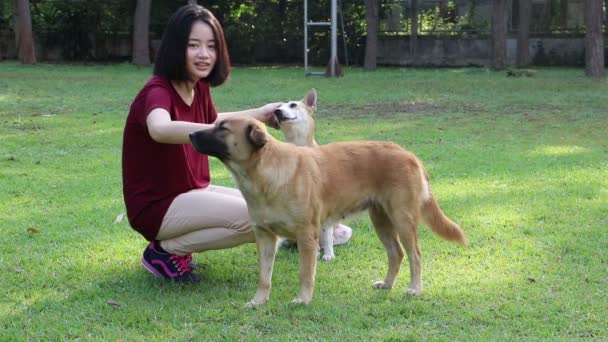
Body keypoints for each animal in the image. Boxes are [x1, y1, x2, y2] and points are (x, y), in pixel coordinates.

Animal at [190, 116, 466, 306]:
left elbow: (305, 273)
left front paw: (303, 299)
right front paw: (258, 301)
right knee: (396, 254)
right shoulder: (265, 237)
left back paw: (415, 289)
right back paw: (387, 285)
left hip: (402, 219)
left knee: (415, 255)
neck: (264, 174)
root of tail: (409, 154)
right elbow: (264, 276)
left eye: (223, 128)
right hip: (381, 220)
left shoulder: (306, 235)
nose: (191, 133)